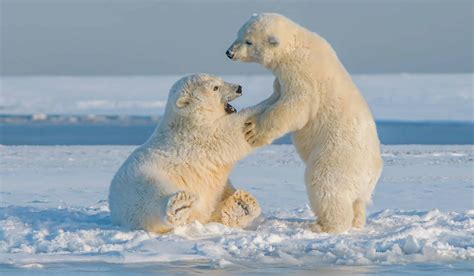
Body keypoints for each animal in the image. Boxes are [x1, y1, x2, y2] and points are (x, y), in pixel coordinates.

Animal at [109, 74, 262, 233]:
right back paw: (179, 205)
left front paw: (241, 203)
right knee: (152, 194)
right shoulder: (200, 136)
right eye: (215, 87)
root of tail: (115, 209)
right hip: (141, 179)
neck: (187, 120)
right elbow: (229, 132)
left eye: (220, 79)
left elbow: (219, 191)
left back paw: (242, 203)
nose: (239, 88)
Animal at [224, 12, 384, 233]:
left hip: (336, 157)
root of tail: (372, 174)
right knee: (358, 202)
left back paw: (324, 226)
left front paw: (253, 131)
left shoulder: (302, 74)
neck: (297, 43)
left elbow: (296, 105)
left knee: (325, 185)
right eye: (238, 34)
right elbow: (277, 95)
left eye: (248, 41)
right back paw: (357, 222)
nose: (229, 53)